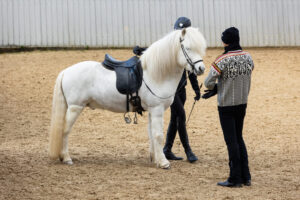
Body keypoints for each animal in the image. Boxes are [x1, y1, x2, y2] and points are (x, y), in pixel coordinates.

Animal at [49, 27, 206, 169]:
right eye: (188, 48)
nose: (201, 69)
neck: (155, 74)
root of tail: (66, 71)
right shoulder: (157, 110)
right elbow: (158, 135)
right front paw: (163, 162)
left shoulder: (151, 111)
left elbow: (151, 134)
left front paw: (155, 158)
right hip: (75, 108)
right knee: (65, 131)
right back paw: (66, 158)